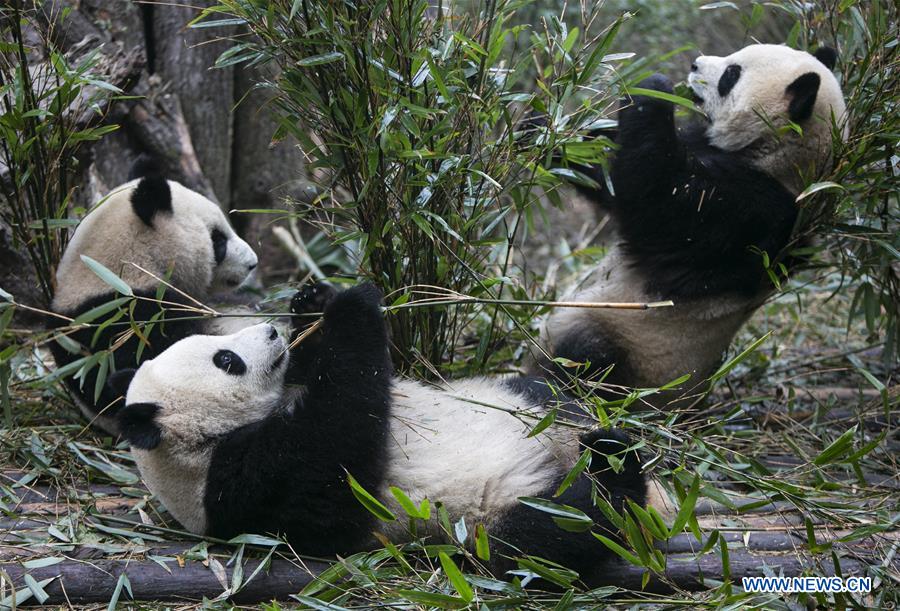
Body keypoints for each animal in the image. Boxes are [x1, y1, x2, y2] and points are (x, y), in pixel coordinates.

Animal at [114, 284, 648, 584]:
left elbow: (322, 371)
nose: (270, 331)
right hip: (484, 519)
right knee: (556, 530)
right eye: (225, 359)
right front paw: (353, 305)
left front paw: (313, 303)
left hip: (520, 400)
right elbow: (342, 441)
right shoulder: (246, 482)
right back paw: (614, 472)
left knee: (544, 394)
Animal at [528, 43, 844, 396]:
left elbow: (651, 194)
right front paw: (540, 127)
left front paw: (655, 85)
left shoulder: (750, 215)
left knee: (587, 358)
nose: (694, 64)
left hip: (632, 345)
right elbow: (610, 172)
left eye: (731, 74)